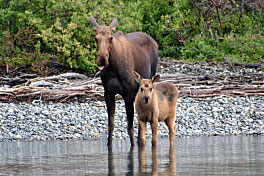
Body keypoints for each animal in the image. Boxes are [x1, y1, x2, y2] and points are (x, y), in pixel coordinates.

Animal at [89, 15, 158, 147]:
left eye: (111, 38)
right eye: (95, 38)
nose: (102, 59)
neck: (113, 67)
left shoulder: (128, 94)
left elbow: (130, 127)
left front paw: (134, 146)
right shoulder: (108, 92)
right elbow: (111, 125)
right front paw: (109, 145)